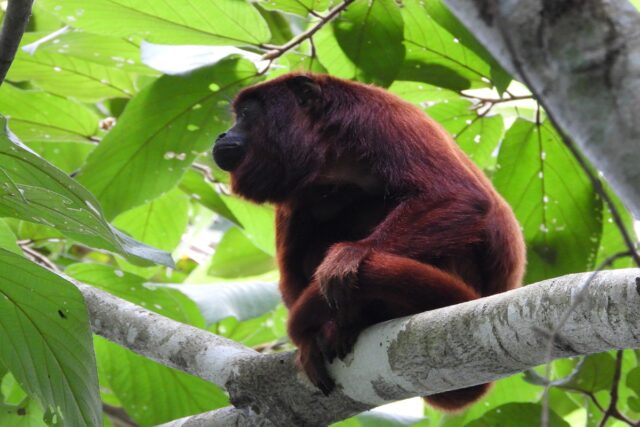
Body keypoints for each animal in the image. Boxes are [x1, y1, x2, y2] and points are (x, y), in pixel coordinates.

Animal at [212, 73, 525, 410]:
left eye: (245, 114)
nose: (221, 134)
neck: (332, 154)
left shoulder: (382, 121)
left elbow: (459, 195)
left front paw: (350, 255)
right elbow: (291, 271)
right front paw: (311, 340)